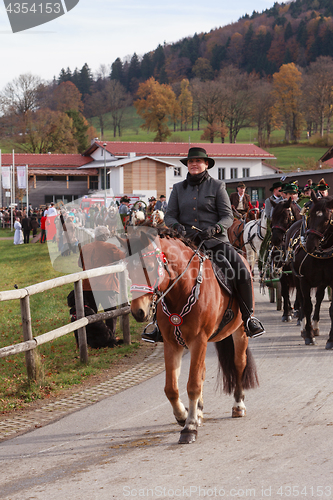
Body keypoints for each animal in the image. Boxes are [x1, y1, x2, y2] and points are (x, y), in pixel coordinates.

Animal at [117, 228, 260, 446]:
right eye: (128, 271)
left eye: (150, 267)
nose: (138, 312)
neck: (181, 290)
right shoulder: (172, 344)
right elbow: (172, 388)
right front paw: (183, 416)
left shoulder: (198, 340)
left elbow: (192, 385)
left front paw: (189, 427)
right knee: (201, 372)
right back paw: (199, 411)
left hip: (240, 332)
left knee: (238, 364)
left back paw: (238, 405)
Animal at [284, 191, 332, 348]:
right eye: (310, 215)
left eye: (327, 219)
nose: (310, 244)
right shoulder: (304, 280)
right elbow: (307, 306)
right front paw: (309, 335)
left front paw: (330, 340)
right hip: (296, 276)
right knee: (302, 300)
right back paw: (304, 327)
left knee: (319, 299)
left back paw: (316, 326)